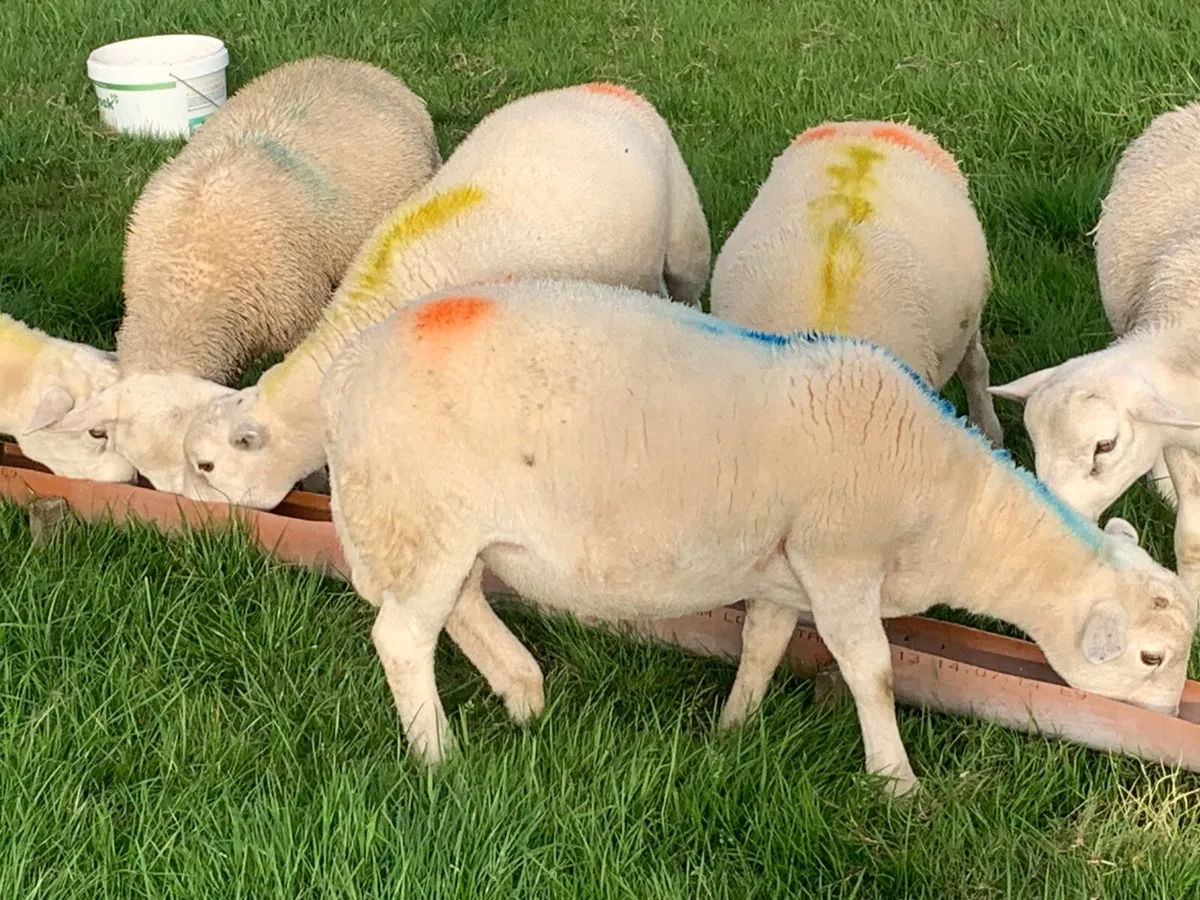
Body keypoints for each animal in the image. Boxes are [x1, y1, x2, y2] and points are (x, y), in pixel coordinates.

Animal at [319, 277, 1197, 797]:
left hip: (436, 530)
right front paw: (897, 784)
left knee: (461, 605)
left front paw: (733, 729)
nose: (1166, 724)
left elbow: (764, 646)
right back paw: (438, 755)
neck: (952, 508)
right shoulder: (838, 561)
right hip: (420, 516)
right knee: (403, 636)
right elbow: (873, 673)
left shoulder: (784, 571)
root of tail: (347, 372)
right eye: (1153, 658)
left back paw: (523, 692)